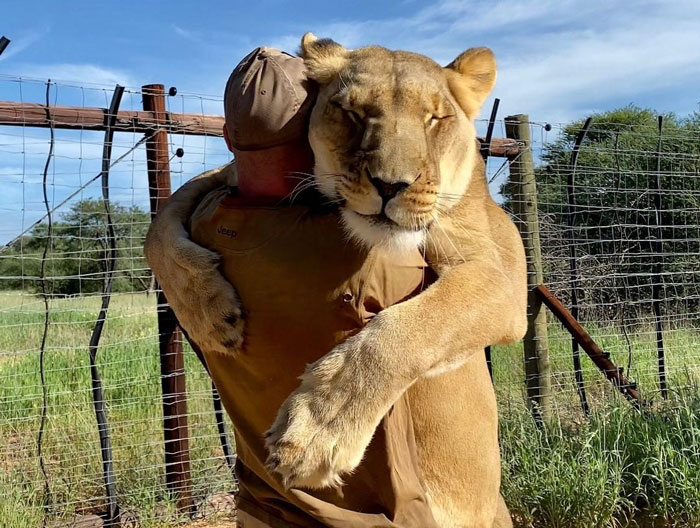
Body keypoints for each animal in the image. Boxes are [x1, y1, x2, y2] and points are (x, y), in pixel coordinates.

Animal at [145, 34, 527, 528]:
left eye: (435, 118)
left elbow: (409, 329)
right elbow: (160, 225)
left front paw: (316, 431)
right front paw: (210, 313)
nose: (390, 185)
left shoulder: (503, 277)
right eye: (352, 113)